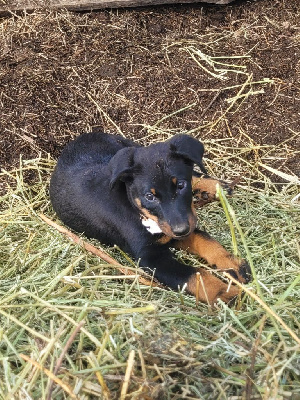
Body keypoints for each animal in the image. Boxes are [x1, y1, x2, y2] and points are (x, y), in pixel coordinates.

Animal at [50, 131, 252, 304]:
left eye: (181, 185)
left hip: (128, 148)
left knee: (194, 173)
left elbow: (207, 242)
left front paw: (233, 265)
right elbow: (193, 274)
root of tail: (81, 136)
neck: (138, 210)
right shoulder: (151, 256)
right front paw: (225, 293)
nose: (182, 230)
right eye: (150, 196)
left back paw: (215, 187)